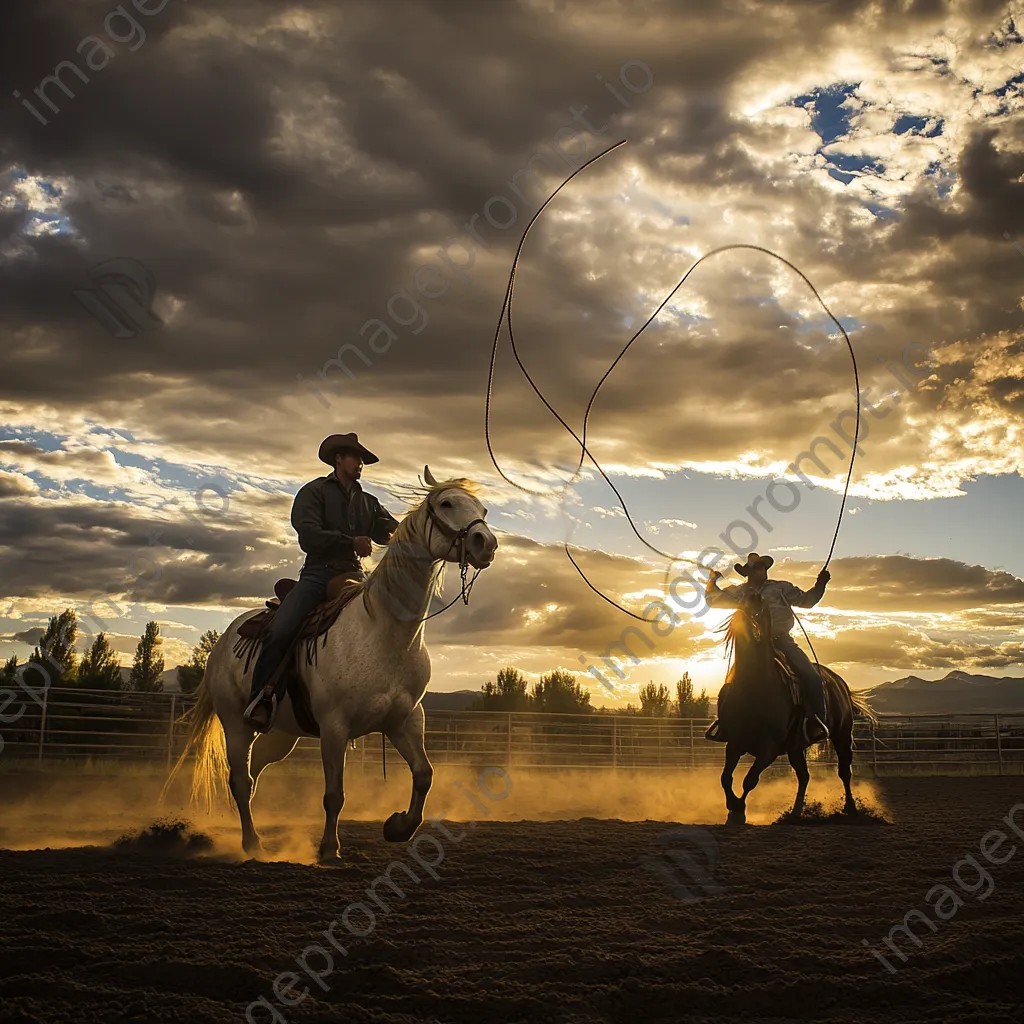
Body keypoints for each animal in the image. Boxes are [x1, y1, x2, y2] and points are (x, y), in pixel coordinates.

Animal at [165, 468, 497, 864]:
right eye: (446, 503)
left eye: (483, 509)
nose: (486, 543)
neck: (383, 631)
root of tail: (224, 640)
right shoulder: (334, 727)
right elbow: (334, 795)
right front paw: (328, 849)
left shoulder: (406, 720)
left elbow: (423, 774)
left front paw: (398, 826)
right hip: (236, 724)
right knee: (241, 780)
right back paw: (252, 843)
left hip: (282, 734)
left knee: (254, 772)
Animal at [716, 593, 876, 823]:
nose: (754, 601)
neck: (753, 686)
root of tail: (841, 684)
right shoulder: (735, 742)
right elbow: (725, 777)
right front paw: (733, 808)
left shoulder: (769, 748)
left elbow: (750, 779)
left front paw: (738, 809)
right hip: (796, 748)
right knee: (804, 776)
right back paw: (795, 813)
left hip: (842, 735)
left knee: (844, 771)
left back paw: (851, 808)